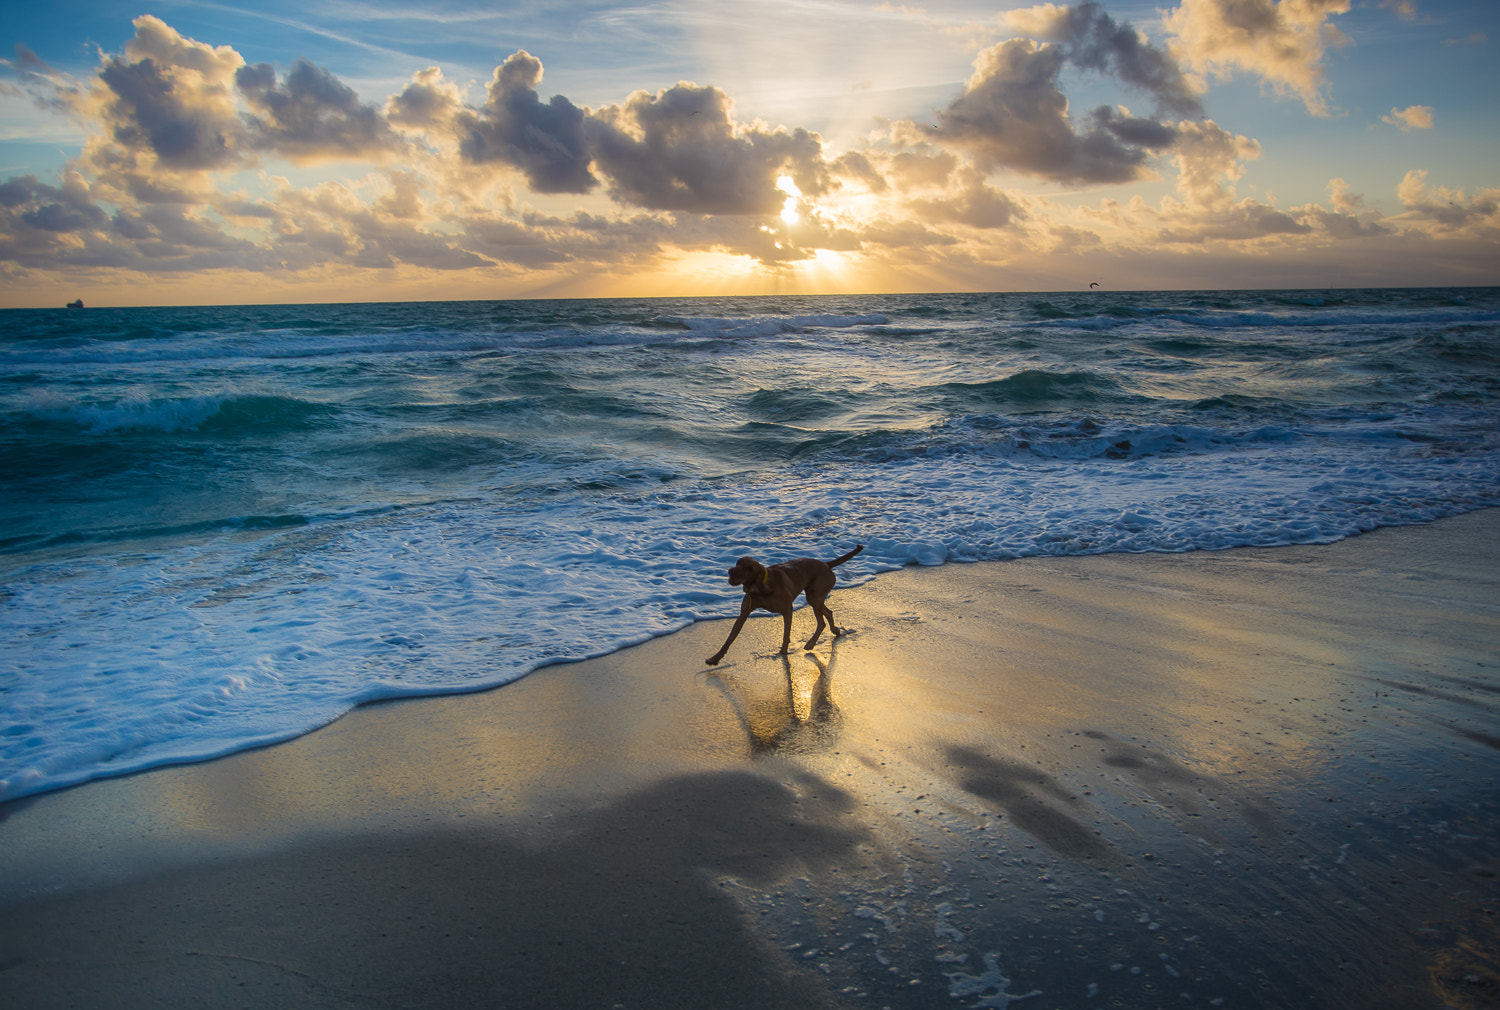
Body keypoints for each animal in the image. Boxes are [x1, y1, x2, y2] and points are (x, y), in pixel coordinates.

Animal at [705, 540, 864, 666]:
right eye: (737, 563)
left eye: (748, 568)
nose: (729, 571)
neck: (759, 588)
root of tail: (826, 564)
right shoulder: (744, 613)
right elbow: (729, 639)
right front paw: (715, 658)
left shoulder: (788, 610)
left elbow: (786, 634)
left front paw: (783, 651)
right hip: (815, 597)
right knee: (828, 612)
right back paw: (835, 630)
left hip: (814, 595)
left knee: (821, 622)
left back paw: (811, 642)